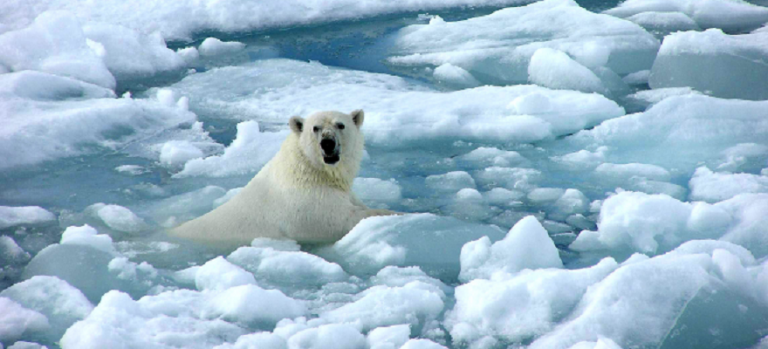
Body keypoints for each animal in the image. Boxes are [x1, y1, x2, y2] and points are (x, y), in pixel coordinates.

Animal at [173, 109, 396, 245]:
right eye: (315, 128)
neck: (310, 170)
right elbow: (342, 220)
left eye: (340, 125)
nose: (327, 143)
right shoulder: (307, 204)